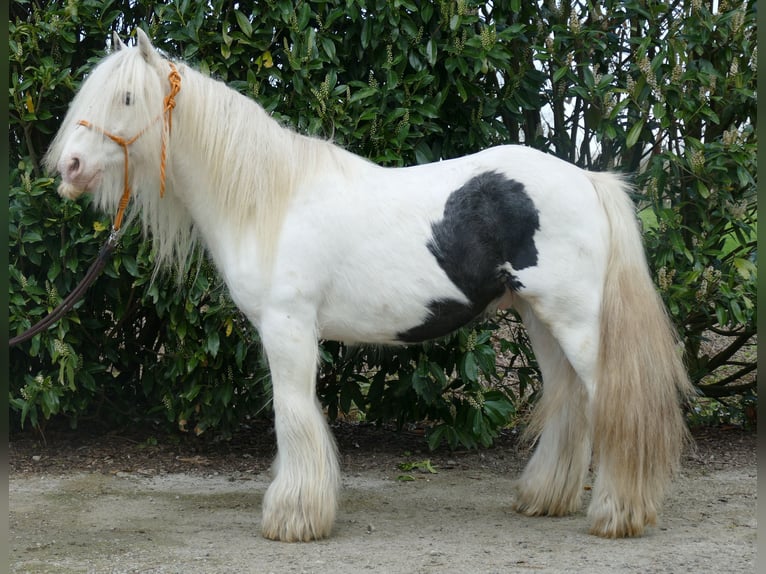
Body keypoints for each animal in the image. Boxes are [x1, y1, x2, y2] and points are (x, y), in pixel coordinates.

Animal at [45, 29, 692, 544]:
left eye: (127, 98)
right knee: (571, 402)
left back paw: (618, 515)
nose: (69, 169)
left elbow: (293, 417)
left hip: (577, 321)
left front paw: (293, 519)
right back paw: (545, 499)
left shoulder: (288, 328)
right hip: (540, 318)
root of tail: (588, 180)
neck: (270, 202)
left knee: (613, 405)